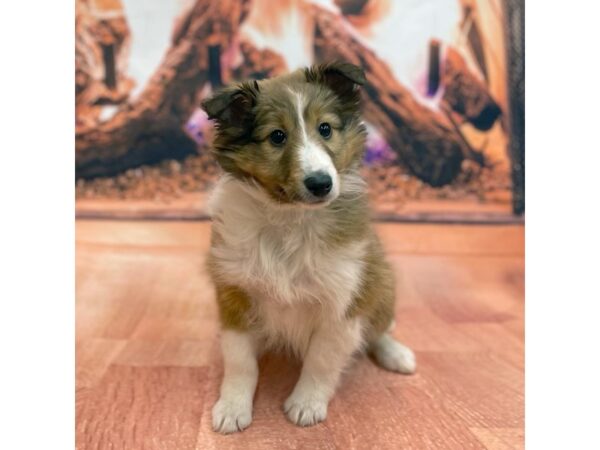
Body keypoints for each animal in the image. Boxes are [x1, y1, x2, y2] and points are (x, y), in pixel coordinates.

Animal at [200, 61, 412, 434]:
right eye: (277, 136)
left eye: (325, 128)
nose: (320, 183)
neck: (290, 219)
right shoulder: (235, 294)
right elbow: (240, 362)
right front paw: (232, 408)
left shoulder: (342, 302)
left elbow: (321, 360)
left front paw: (306, 405)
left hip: (381, 284)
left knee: (380, 329)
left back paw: (397, 355)